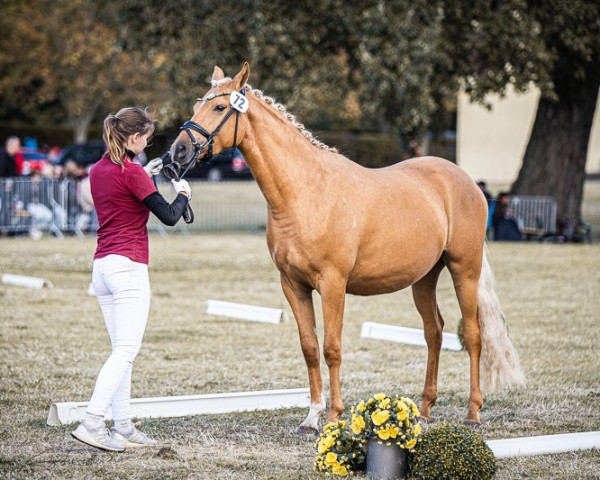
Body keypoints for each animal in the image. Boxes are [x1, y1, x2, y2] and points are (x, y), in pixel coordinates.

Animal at [170, 62, 524, 434]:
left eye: (219, 107)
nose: (177, 153)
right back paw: (425, 410)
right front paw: (311, 417)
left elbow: (332, 348)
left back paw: (473, 413)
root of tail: (465, 181)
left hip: (463, 270)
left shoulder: (333, 284)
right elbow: (309, 347)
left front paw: (334, 416)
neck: (305, 191)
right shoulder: (292, 285)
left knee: (472, 334)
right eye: (196, 106)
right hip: (425, 278)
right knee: (434, 333)